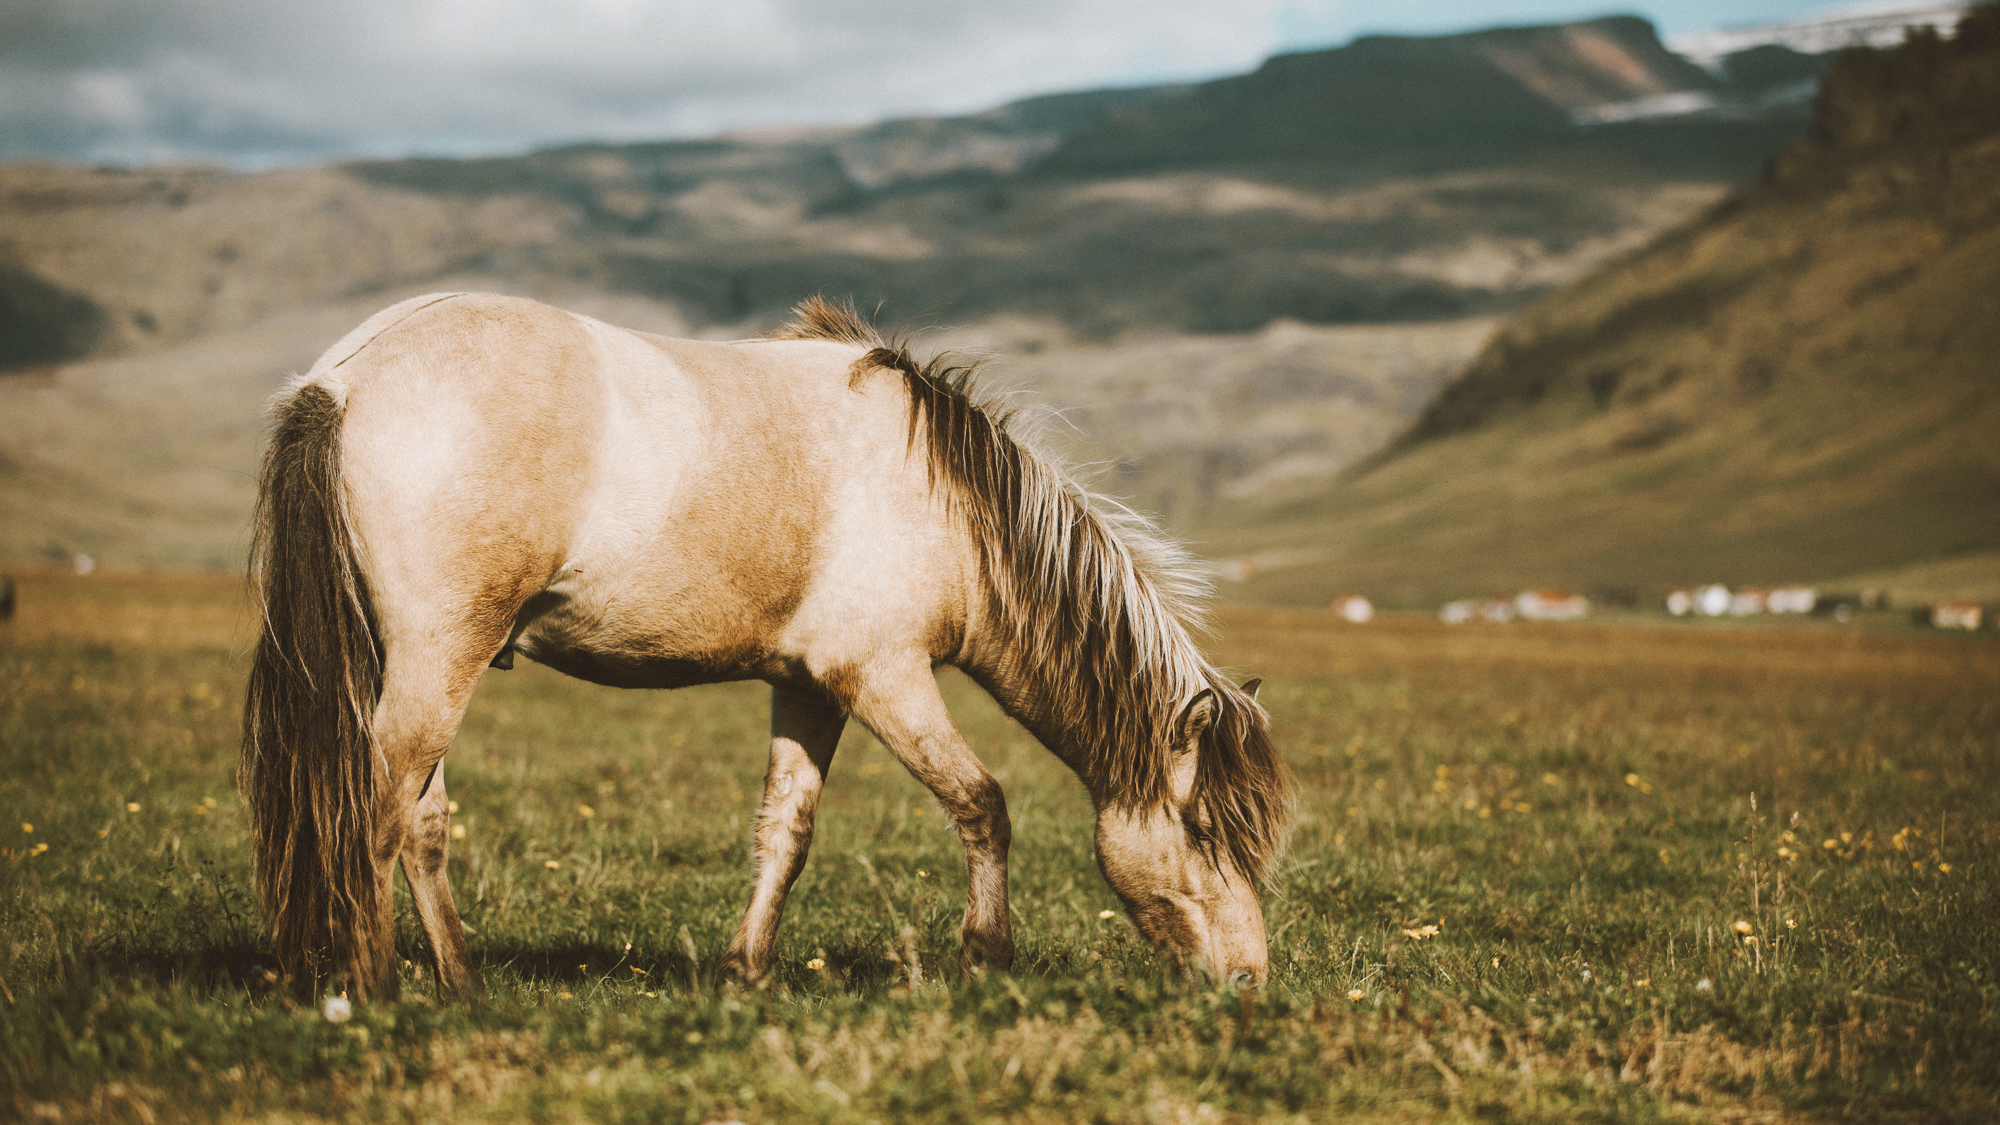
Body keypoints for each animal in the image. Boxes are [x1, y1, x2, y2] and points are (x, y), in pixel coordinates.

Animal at [238, 290, 1296, 996]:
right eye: (1206, 830)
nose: (1249, 982)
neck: (947, 505)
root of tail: (342, 378)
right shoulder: (885, 678)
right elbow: (982, 805)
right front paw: (986, 961)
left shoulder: (813, 687)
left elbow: (786, 825)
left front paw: (746, 969)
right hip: (438, 658)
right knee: (373, 808)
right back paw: (371, 985)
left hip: (419, 663)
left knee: (420, 821)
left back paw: (459, 981)